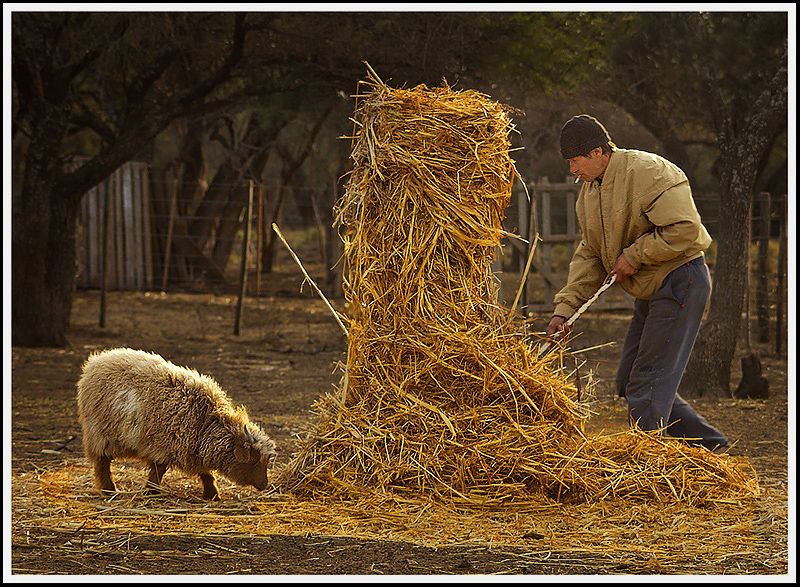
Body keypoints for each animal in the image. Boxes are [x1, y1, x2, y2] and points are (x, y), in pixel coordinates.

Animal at [76, 346, 276, 504]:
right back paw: (109, 490)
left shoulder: (193, 448)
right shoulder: (162, 445)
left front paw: (212, 494)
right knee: (102, 462)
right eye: (253, 460)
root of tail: (96, 361)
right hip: (99, 433)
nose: (264, 485)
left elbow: (205, 472)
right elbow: (159, 470)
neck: (206, 422)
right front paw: (151, 491)